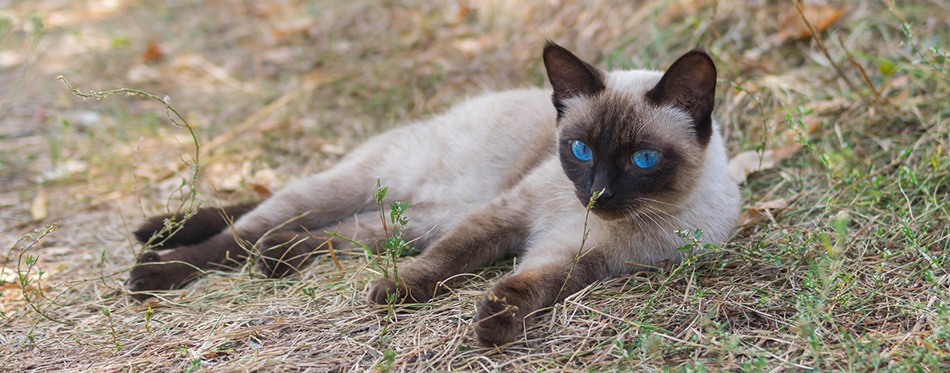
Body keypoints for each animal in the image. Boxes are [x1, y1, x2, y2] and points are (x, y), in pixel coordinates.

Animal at [126, 42, 740, 344]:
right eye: (581, 150)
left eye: (642, 160)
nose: (598, 195)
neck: (596, 223)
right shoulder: (507, 216)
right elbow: (447, 261)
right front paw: (396, 294)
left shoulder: (575, 256)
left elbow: (529, 286)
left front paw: (493, 323)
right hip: (357, 189)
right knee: (244, 229)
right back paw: (152, 265)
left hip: (409, 220)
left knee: (317, 235)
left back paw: (275, 260)